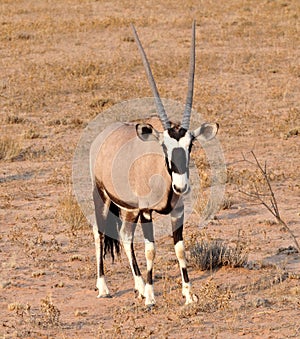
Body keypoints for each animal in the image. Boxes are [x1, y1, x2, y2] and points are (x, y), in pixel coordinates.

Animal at [90, 21, 219, 308]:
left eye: (190, 146)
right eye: (164, 148)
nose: (181, 186)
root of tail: (105, 135)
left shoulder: (177, 210)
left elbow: (180, 249)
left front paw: (189, 293)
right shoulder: (148, 211)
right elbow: (151, 248)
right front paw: (150, 296)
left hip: (129, 209)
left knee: (125, 236)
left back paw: (138, 285)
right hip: (102, 196)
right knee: (100, 232)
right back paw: (104, 287)